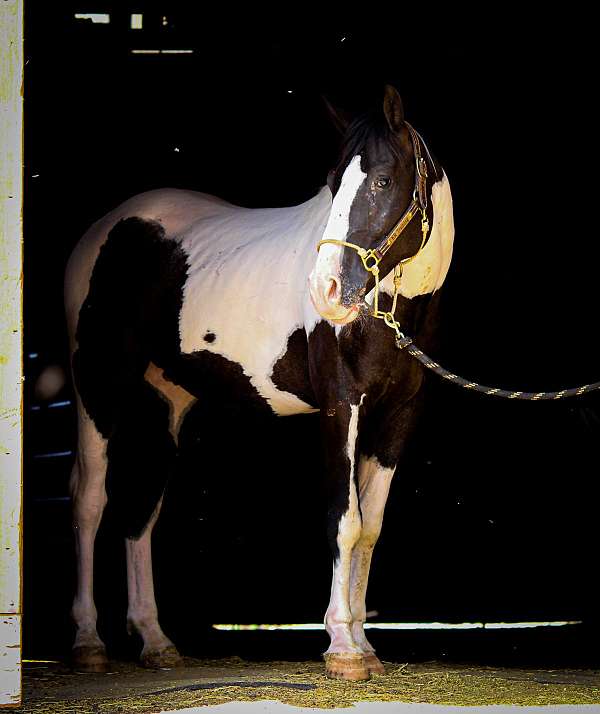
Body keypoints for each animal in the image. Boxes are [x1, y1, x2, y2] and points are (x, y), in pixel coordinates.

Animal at [64, 84, 454, 681]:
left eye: (384, 180)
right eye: (333, 182)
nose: (325, 289)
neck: (389, 309)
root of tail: (107, 230)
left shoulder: (398, 416)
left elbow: (370, 526)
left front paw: (365, 646)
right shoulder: (342, 408)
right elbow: (344, 519)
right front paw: (342, 648)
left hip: (166, 402)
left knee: (142, 509)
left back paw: (155, 640)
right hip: (97, 385)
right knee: (89, 499)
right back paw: (89, 642)